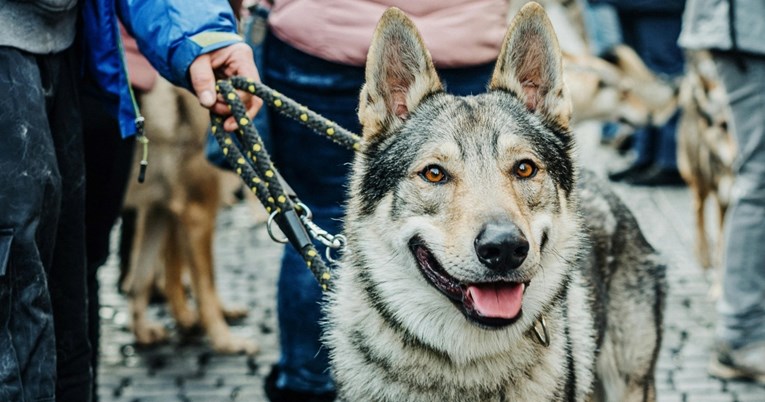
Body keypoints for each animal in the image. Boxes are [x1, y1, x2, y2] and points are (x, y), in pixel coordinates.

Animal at [122, 77, 258, 354]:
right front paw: (225, 340)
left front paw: (141, 331)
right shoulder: (196, 211)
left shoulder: (159, 209)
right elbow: (206, 284)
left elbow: (142, 278)